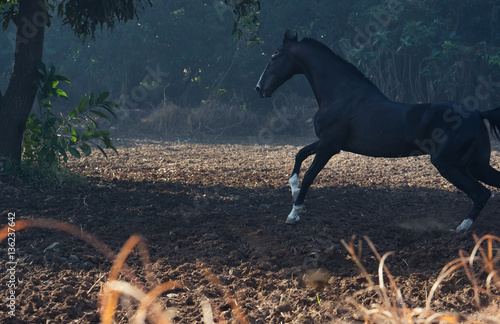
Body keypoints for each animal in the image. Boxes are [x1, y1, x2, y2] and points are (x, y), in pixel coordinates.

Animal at [256, 29, 500, 230]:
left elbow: (309, 175)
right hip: (474, 165)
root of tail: (477, 113)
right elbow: (300, 154)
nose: (259, 88)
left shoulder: (329, 146)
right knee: (488, 188)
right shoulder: (328, 142)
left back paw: (462, 227)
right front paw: (293, 189)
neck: (340, 95)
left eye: (275, 55)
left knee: (480, 193)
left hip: (447, 164)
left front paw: (293, 214)